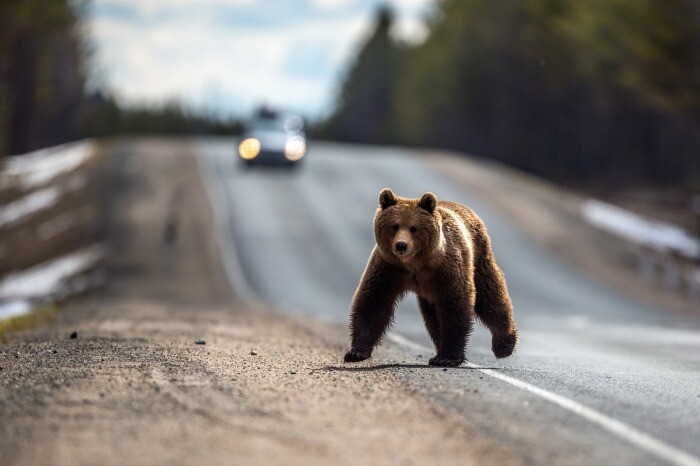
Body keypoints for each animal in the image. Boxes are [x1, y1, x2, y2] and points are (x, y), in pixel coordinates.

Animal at [342, 187, 516, 366]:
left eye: (414, 228)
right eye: (394, 226)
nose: (401, 245)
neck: (415, 263)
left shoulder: (446, 269)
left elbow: (455, 305)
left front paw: (449, 357)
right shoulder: (389, 267)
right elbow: (373, 301)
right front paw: (356, 352)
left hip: (478, 258)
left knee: (490, 296)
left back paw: (504, 344)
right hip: (430, 293)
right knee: (433, 317)